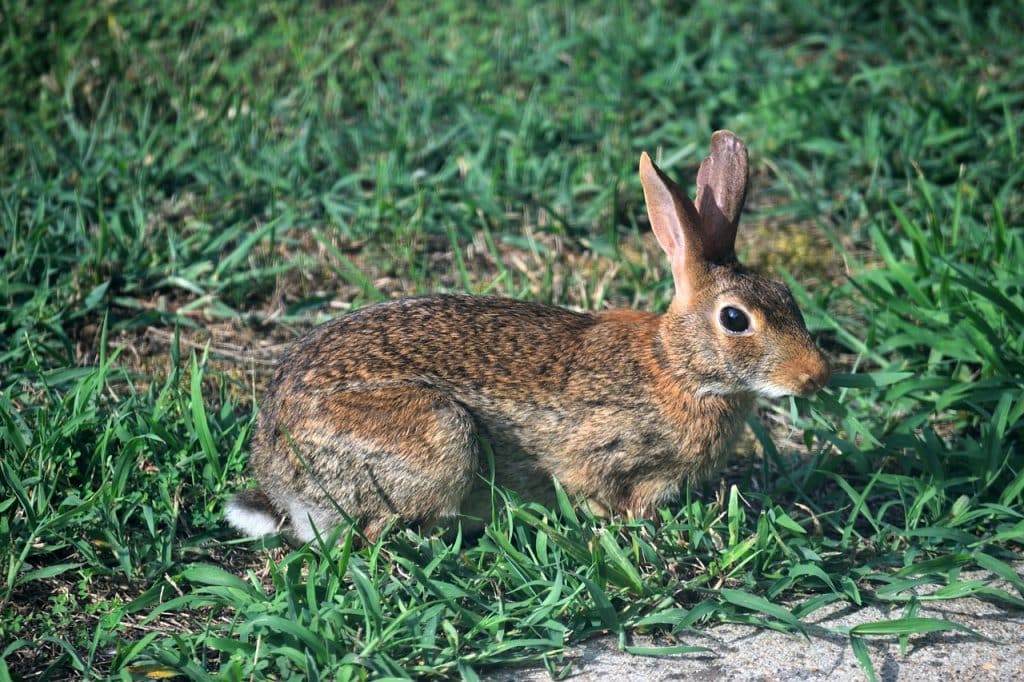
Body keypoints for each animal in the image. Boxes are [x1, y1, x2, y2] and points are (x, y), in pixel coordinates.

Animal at [225, 130, 831, 544]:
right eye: (735, 319)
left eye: (786, 294)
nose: (818, 376)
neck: (677, 367)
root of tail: (280, 479)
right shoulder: (604, 455)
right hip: (439, 436)